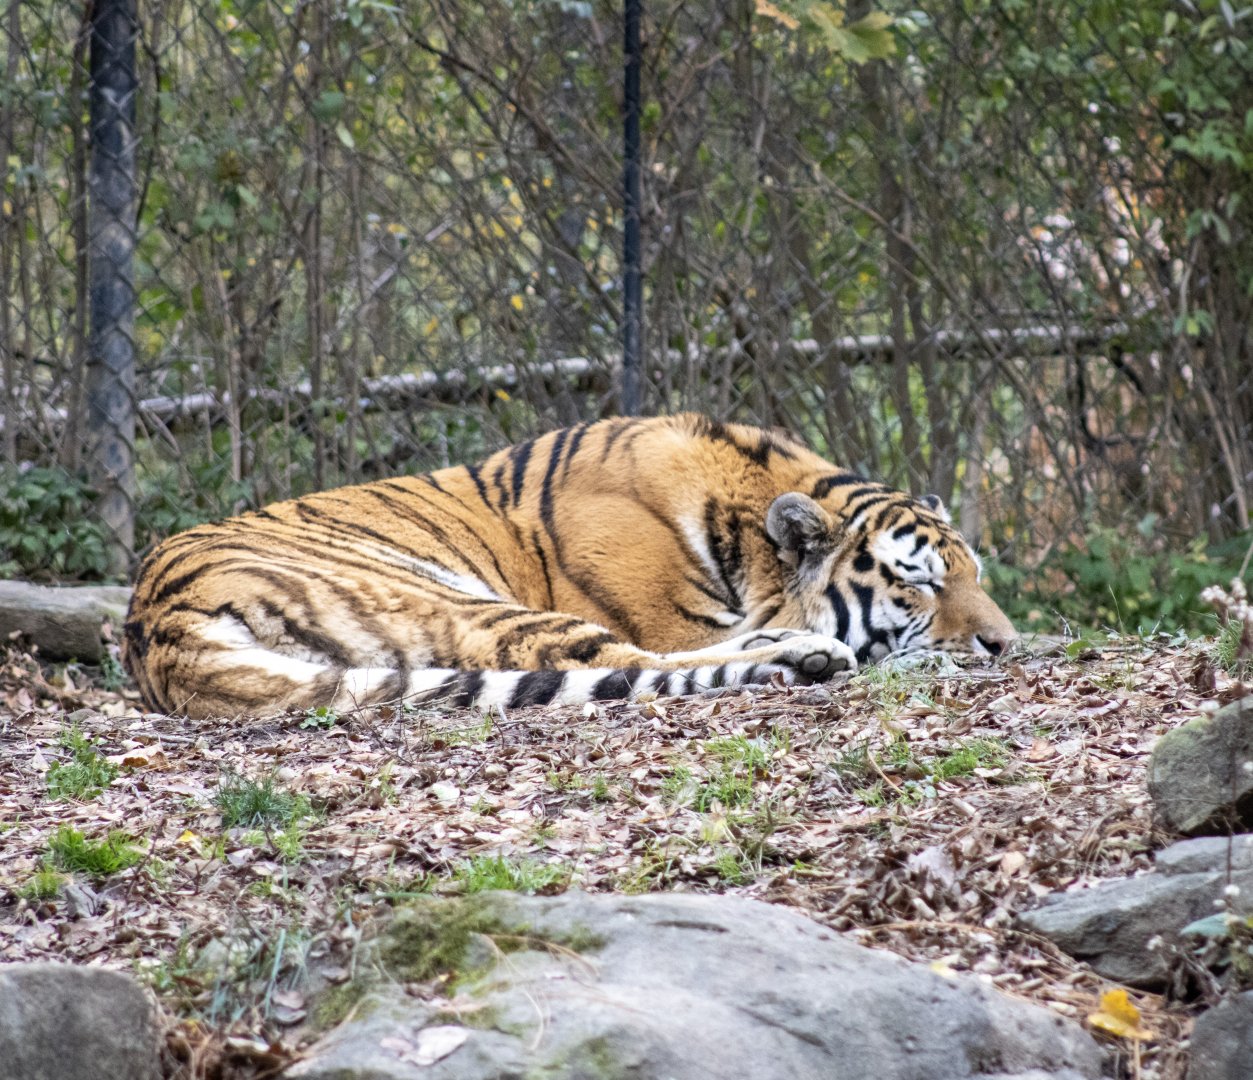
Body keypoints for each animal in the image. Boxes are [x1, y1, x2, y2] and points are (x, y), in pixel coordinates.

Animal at [123, 413, 1016, 719]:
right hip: (459, 600)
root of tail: (155, 622)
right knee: (628, 665)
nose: (1004, 645)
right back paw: (808, 656)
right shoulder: (668, 617)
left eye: (977, 574)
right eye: (918, 581)